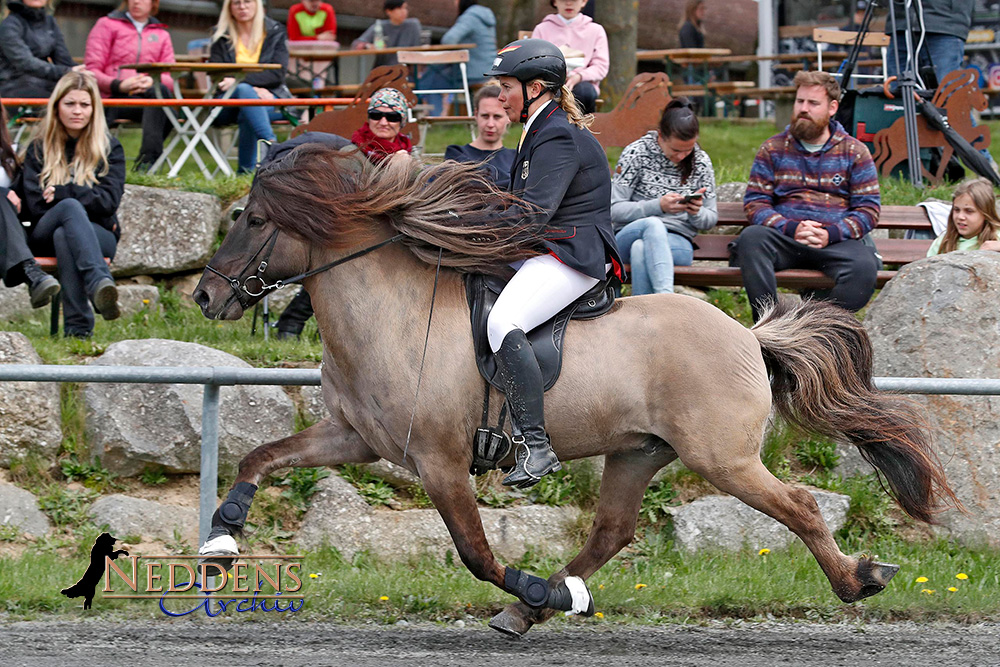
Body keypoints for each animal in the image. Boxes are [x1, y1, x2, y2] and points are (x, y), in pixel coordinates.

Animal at [189, 145, 960, 636]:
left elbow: (475, 552)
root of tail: (747, 335)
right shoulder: (352, 437)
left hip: (723, 457)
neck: (392, 314)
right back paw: (544, 602)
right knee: (613, 530)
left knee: (797, 505)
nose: (204, 296)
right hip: (639, 451)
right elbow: (261, 455)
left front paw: (530, 584)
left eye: (254, 221)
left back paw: (856, 579)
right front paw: (222, 538)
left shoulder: (440, 462)